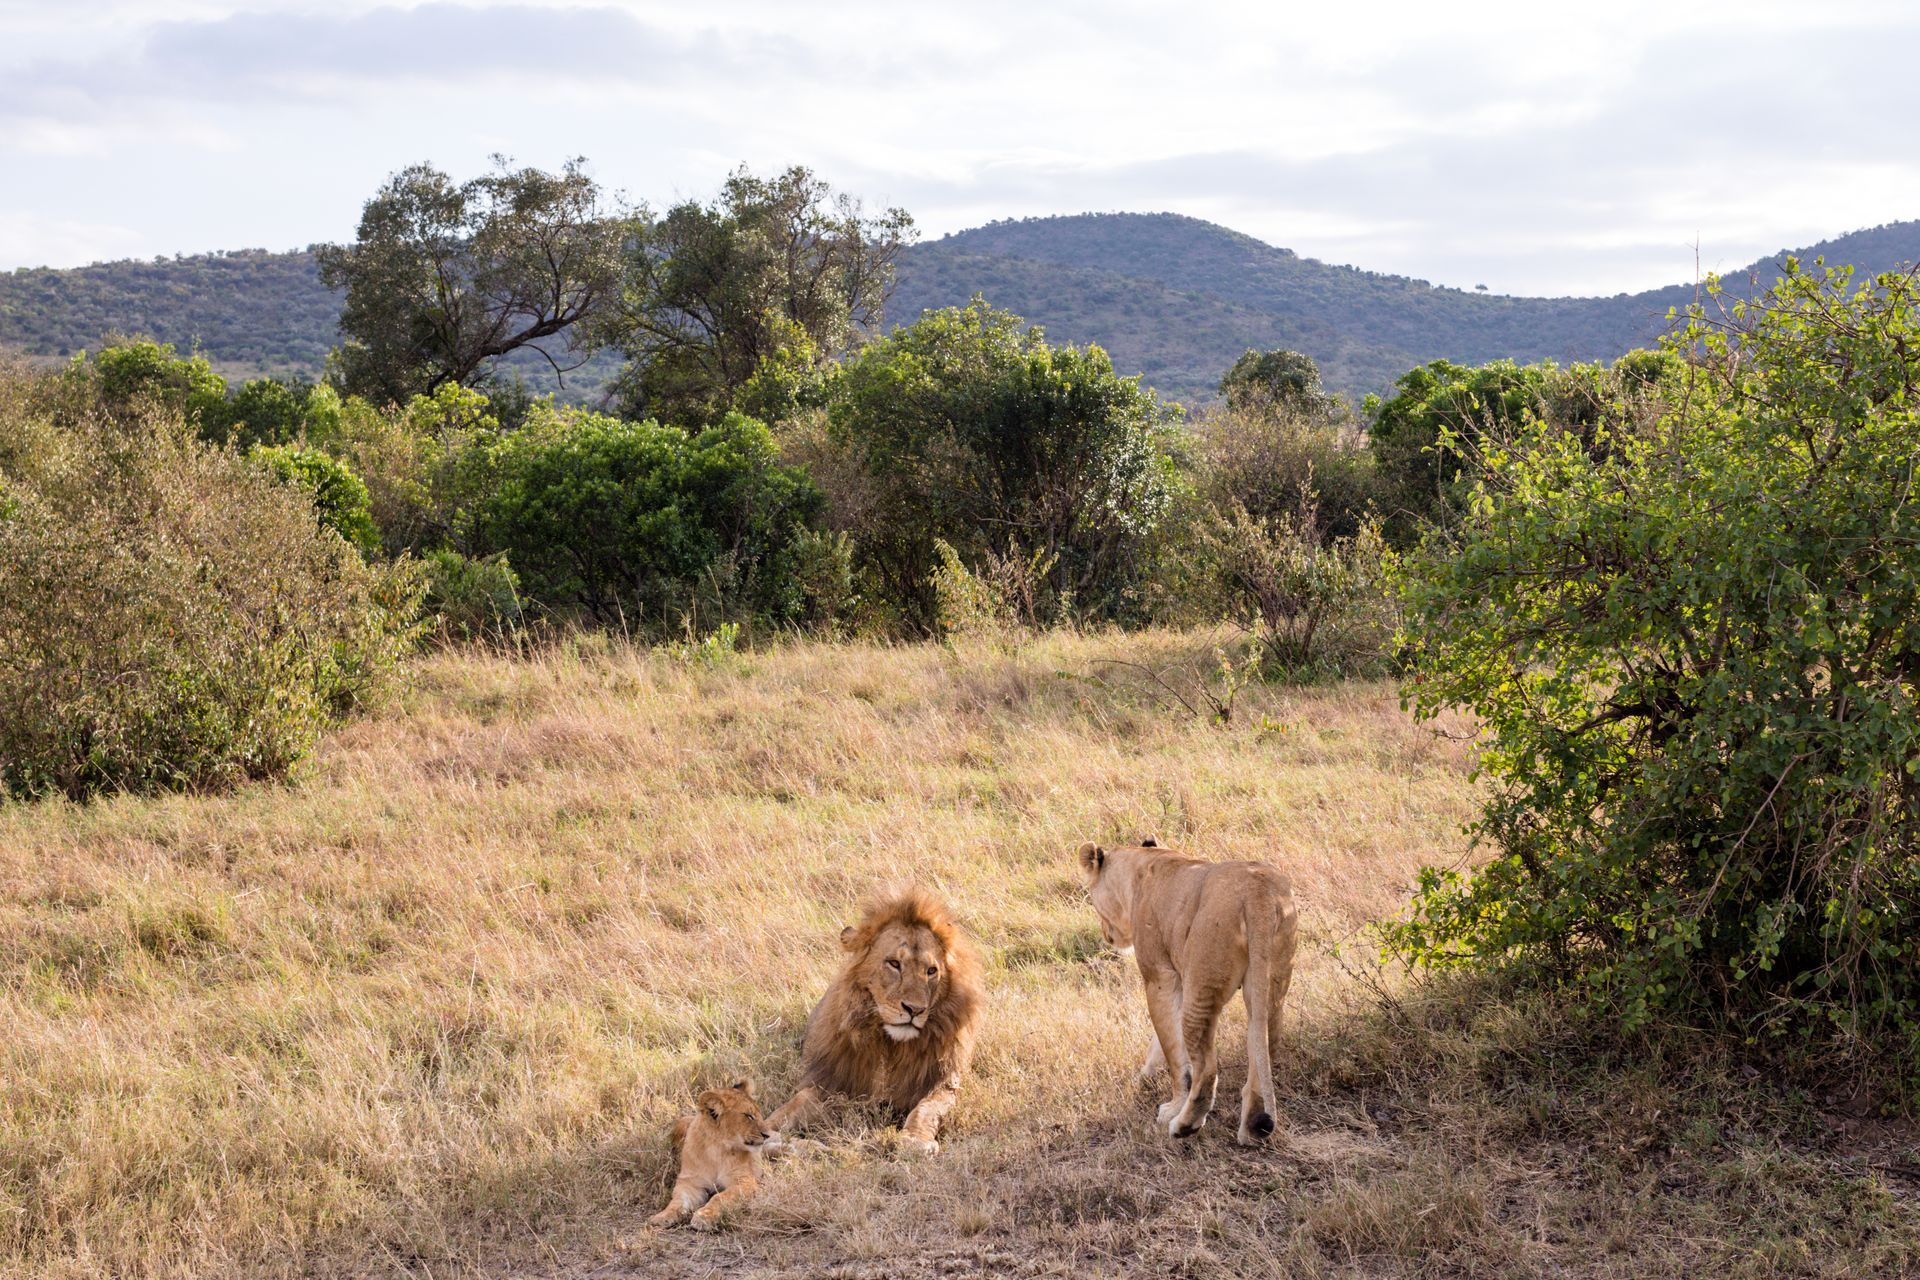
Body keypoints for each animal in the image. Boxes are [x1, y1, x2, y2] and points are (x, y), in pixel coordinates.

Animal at [647, 1079, 772, 1232]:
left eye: (758, 1114)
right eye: (748, 1116)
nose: (768, 1135)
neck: (716, 1149)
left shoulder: (744, 1181)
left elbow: (719, 1197)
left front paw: (704, 1216)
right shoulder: (690, 1182)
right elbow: (677, 1201)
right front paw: (662, 1216)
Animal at [766, 888, 984, 1155]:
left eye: (931, 971)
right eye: (894, 964)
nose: (914, 1009)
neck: (890, 1046)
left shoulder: (942, 1083)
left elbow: (926, 1109)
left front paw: (914, 1140)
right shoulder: (831, 1083)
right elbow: (790, 1107)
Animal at [1077, 838, 1298, 1145]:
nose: (1105, 934)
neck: (1141, 862)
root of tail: (1258, 894)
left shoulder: (1160, 976)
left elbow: (1172, 1050)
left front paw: (1171, 1108)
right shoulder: (1177, 979)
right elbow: (1161, 1041)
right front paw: (1145, 1074)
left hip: (1201, 987)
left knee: (1206, 1068)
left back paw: (1184, 1125)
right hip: (1271, 985)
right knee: (1265, 1044)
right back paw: (1252, 1131)